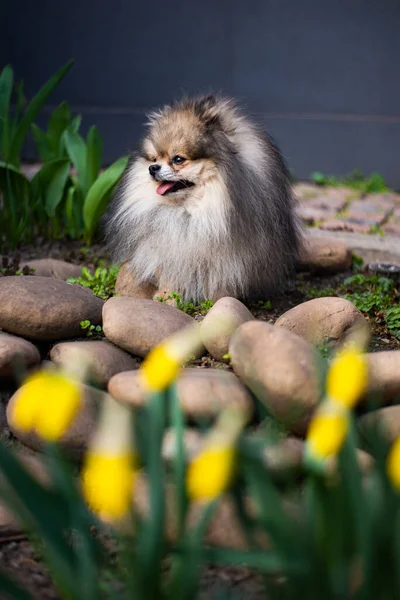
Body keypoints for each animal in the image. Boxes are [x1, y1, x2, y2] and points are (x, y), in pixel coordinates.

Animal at [104, 95, 302, 302]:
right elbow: (170, 274)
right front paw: (166, 296)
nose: (153, 168)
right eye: (154, 158)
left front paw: (220, 301)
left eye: (178, 159)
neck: (189, 212)